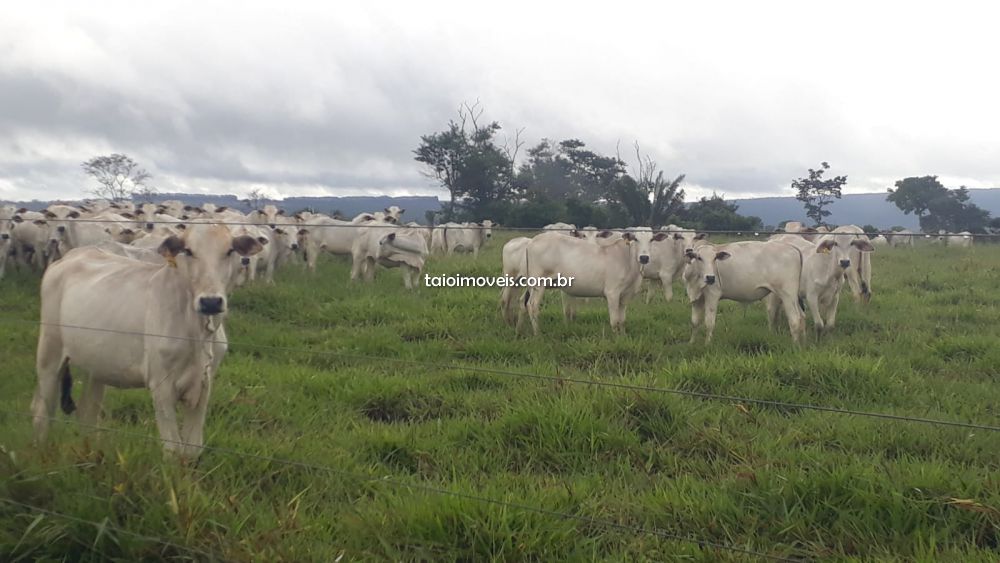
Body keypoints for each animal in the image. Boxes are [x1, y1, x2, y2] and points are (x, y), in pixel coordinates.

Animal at [33, 224, 264, 458]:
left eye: (230, 251)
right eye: (188, 251)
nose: (210, 302)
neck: (198, 332)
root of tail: (69, 257)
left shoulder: (204, 385)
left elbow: (192, 449)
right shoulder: (161, 385)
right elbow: (173, 449)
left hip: (96, 367)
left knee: (87, 413)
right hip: (49, 354)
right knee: (43, 410)